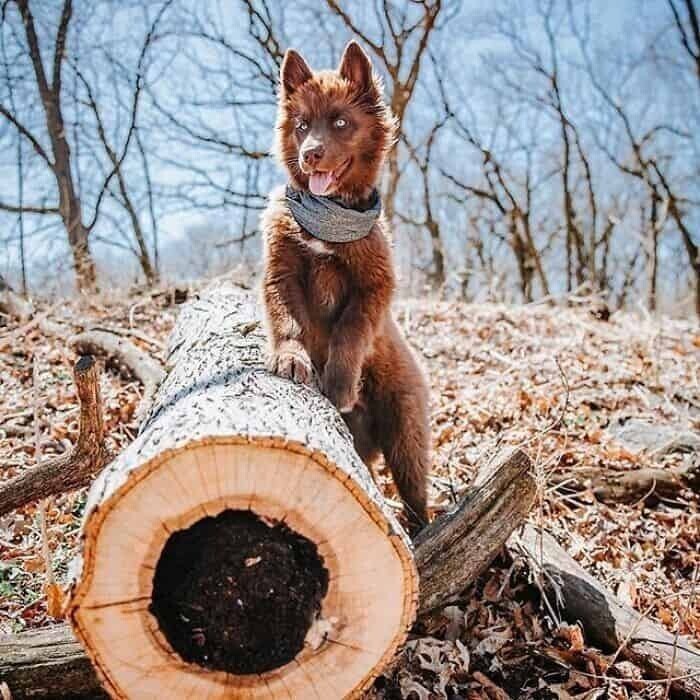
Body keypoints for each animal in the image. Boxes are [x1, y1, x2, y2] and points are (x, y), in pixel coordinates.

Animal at [260, 39, 430, 532]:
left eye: (339, 122)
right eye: (301, 125)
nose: (311, 154)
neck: (329, 217)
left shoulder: (374, 287)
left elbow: (351, 330)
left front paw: (338, 383)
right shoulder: (281, 271)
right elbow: (289, 322)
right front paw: (292, 360)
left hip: (407, 436)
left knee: (416, 495)